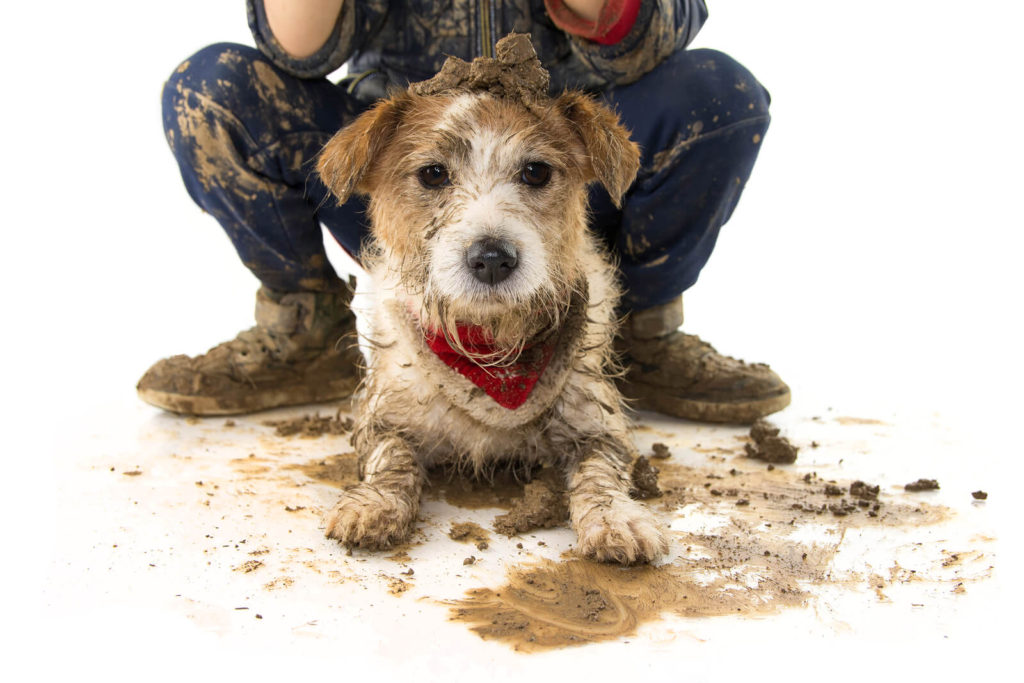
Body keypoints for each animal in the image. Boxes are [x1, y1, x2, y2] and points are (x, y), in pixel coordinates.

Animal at [315, 34, 667, 565]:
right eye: (433, 173)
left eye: (536, 172)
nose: (493, 258)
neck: (492, 348)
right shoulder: (386, 417)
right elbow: (390, 456)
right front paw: (374, 505)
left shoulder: (595, 419)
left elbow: (600, 471)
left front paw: (615, 519)